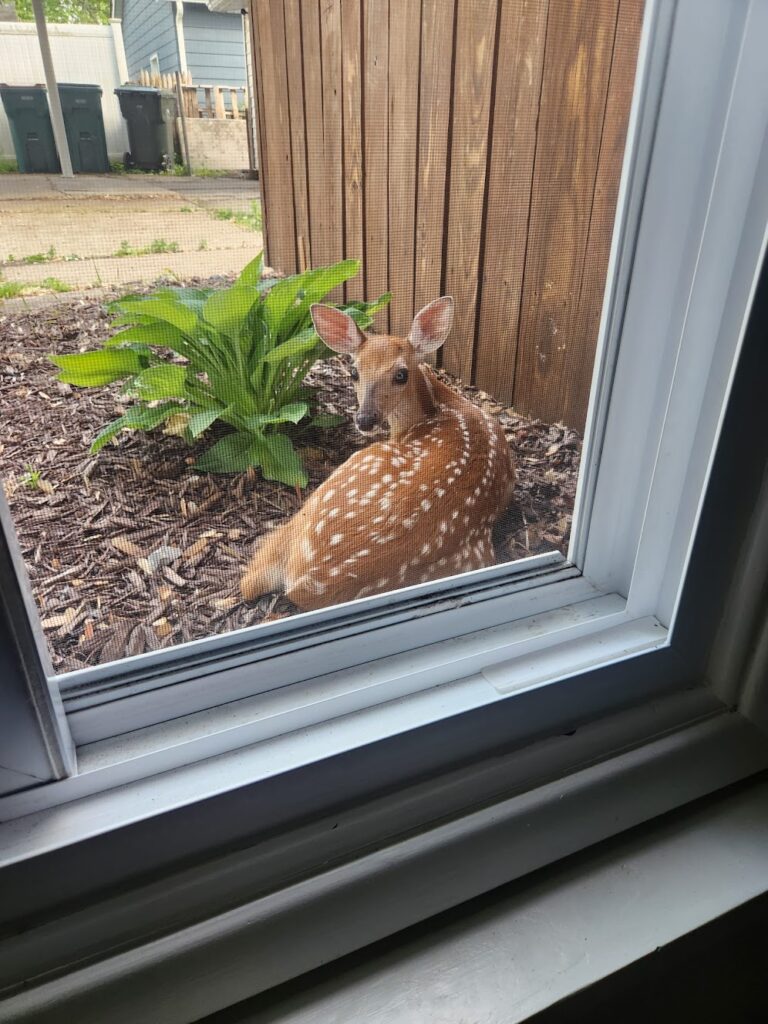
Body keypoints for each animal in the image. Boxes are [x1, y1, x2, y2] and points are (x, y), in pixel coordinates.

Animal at [240, 296, 515, 611]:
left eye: (401, 374)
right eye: (354, 372)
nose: (365, 419)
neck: (443, 406)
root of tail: (306, 584)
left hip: (342, 477)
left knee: (252, 575)